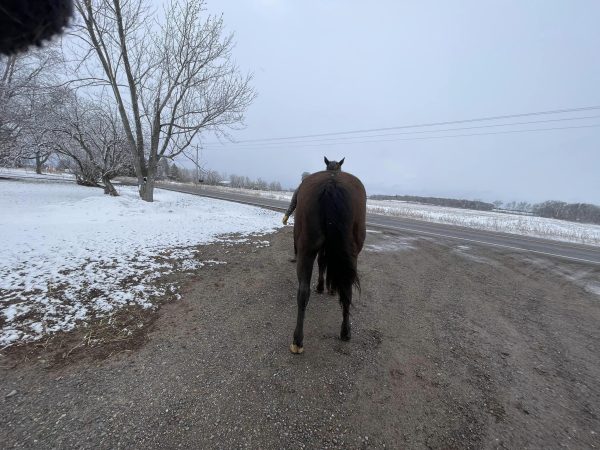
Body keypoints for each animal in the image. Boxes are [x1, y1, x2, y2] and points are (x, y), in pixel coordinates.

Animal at [290, 170, 368, 356]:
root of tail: (332, 183)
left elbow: (323, 263)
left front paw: (324, 287)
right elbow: (325, 265)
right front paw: (326, 288)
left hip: (307, 249)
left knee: (304, 291)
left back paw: (298, 341)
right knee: (346, 289)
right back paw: (345, 332)